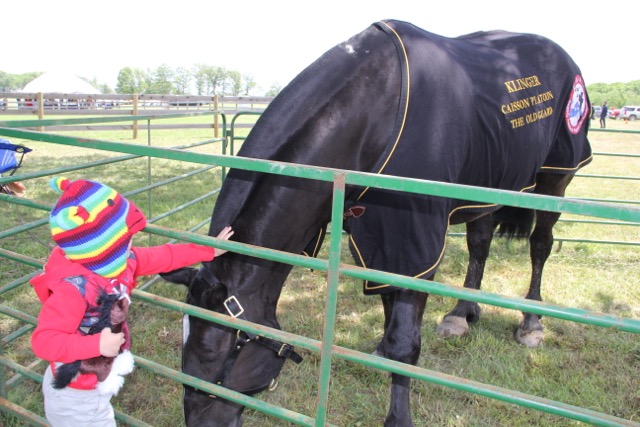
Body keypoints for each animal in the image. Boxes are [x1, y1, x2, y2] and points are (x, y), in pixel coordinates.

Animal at [160, 18, 592, 426]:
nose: (197, 421)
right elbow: (390, 306)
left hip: (556, 179)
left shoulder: (414, 240)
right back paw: (461, 314)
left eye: (220, 355)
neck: (377, 112)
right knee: (480, 244)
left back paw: (532, 321)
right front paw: (384, 347)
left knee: (540, 245)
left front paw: (398, 414)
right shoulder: (379, 235)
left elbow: (405, 343)